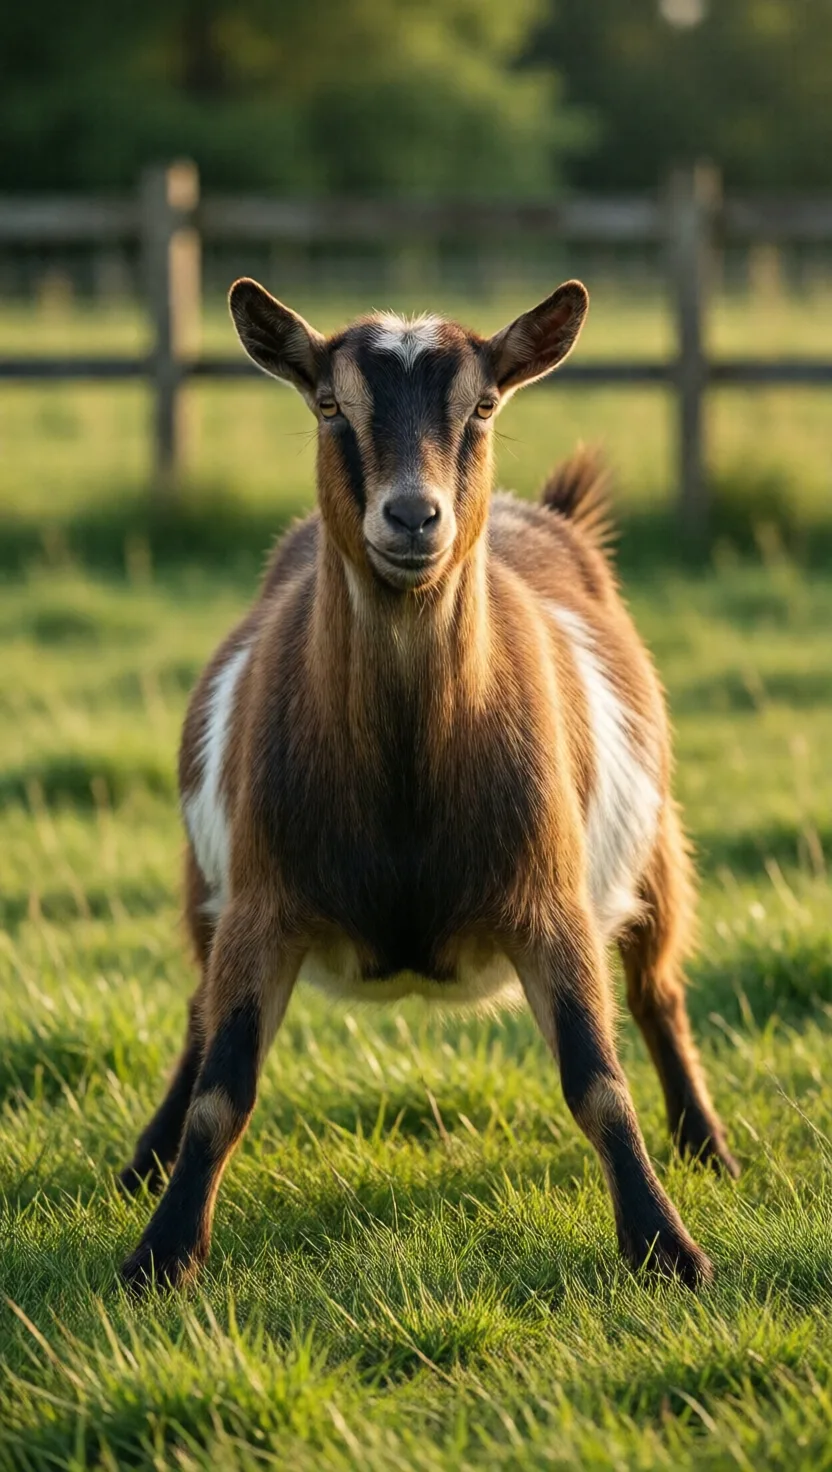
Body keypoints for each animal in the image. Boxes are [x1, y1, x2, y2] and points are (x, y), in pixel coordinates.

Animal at [119, 278, 738, 1292]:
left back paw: (708, 1148)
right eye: (329, 405)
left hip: (656, 851)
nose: (413, 518)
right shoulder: (261, 899)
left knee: (659, 991)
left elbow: (599, 1083)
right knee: (196, 1015)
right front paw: (161, 1254)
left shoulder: (550, 899)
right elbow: (222, 1087)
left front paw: (666, 1248)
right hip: (204, 885)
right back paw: (144, 1163)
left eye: (482, 406)